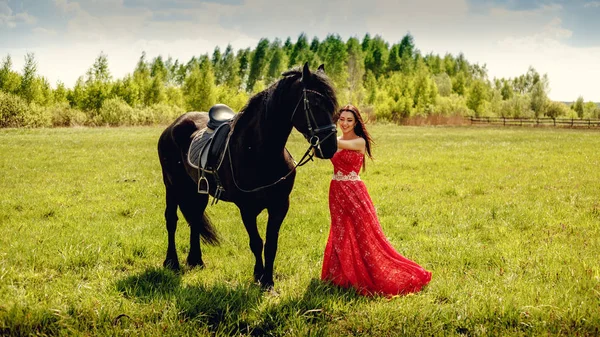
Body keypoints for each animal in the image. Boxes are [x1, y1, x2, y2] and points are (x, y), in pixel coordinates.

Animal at [158, 62, 338, 286]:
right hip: (172, 185)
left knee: (195, 218)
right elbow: (256, 242)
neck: (259, 151)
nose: (330, 146)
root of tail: (173, 125)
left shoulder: (280, 205)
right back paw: (171, 262)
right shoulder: (247, 208)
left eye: (332, 105)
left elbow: (271, 244)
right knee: (171, 220)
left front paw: (268, 280)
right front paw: (259, 275)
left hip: (197, 189)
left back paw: (196, 260)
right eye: (314, 103)